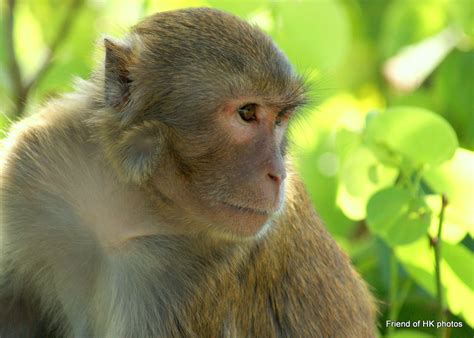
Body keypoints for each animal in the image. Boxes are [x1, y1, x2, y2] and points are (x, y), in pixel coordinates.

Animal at [0, 7, 378, 338]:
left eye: (280, 119)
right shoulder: (30, 168)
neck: (132, 201)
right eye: (247, 112)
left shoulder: (193, 275)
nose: (278, 174)